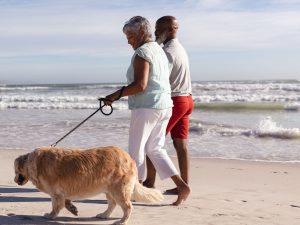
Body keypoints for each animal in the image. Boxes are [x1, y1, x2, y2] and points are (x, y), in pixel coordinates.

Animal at [14, 147, 164, 224]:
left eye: (16, 171)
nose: (15, 180)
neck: (35, 163)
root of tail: (129, 158)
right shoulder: (60, 192)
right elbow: (64, 202)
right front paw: (72, 208)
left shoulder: (56, 193)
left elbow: (56, 206)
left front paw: (51, 216)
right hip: (109, 189)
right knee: (112, 204)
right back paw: (104, 215)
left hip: (119, 190)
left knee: (127, 206)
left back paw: (122, 221)